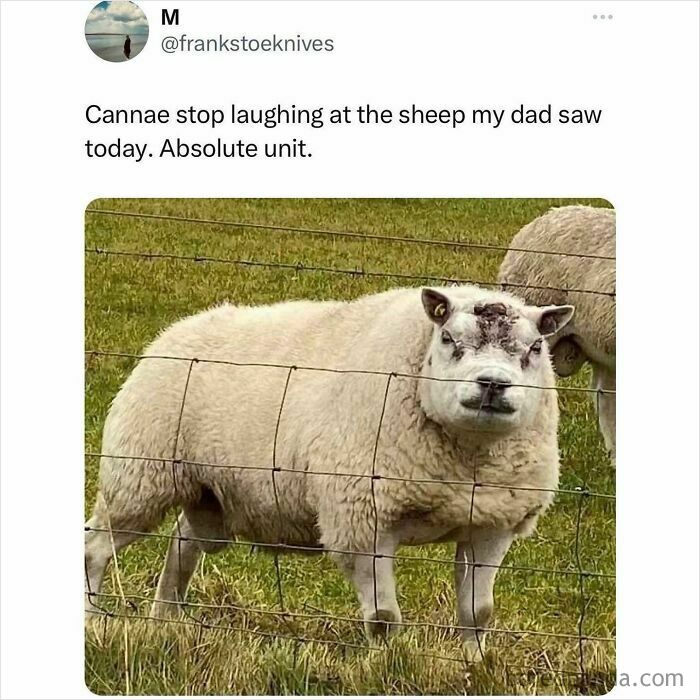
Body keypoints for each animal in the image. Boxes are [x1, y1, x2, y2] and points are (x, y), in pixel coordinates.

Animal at [85, 284, 574, 660]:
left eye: (535, 348)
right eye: (450, 339)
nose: (492, 384)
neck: (467, 461)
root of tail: (179, 329)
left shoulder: (493, 524)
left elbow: (479, 613)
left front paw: (475, 665)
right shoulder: (362, 521)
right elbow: (383, 618)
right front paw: (385, 665)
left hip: (208, 492)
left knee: (182, 542)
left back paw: (165, 618)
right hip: (139, 476)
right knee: (96, 546)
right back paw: (93, 619)